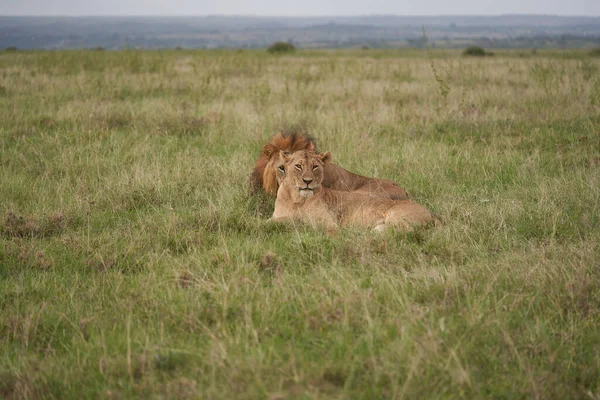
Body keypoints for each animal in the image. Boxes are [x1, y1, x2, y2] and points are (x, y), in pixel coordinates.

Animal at [272, 149, 440, 231]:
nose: (308, 181)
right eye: (298, 166)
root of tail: (432, 212)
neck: (296, 199)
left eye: (315, 167)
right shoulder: (275, 217)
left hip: (396, 216)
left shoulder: (329, 224)